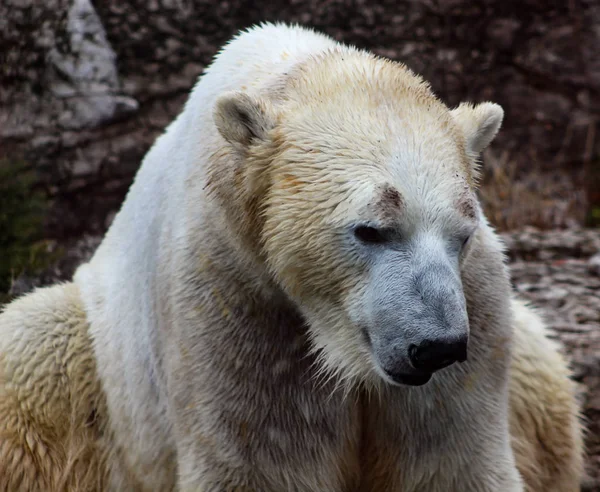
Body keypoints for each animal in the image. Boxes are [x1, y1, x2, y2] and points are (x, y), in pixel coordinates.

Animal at [0, 22, 580, 492]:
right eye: (370, 229)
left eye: (462, 233)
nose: (435, 347)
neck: (295, 73)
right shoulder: (239, 306)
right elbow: (260, 460)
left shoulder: (476, 313)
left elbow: (452, 461)